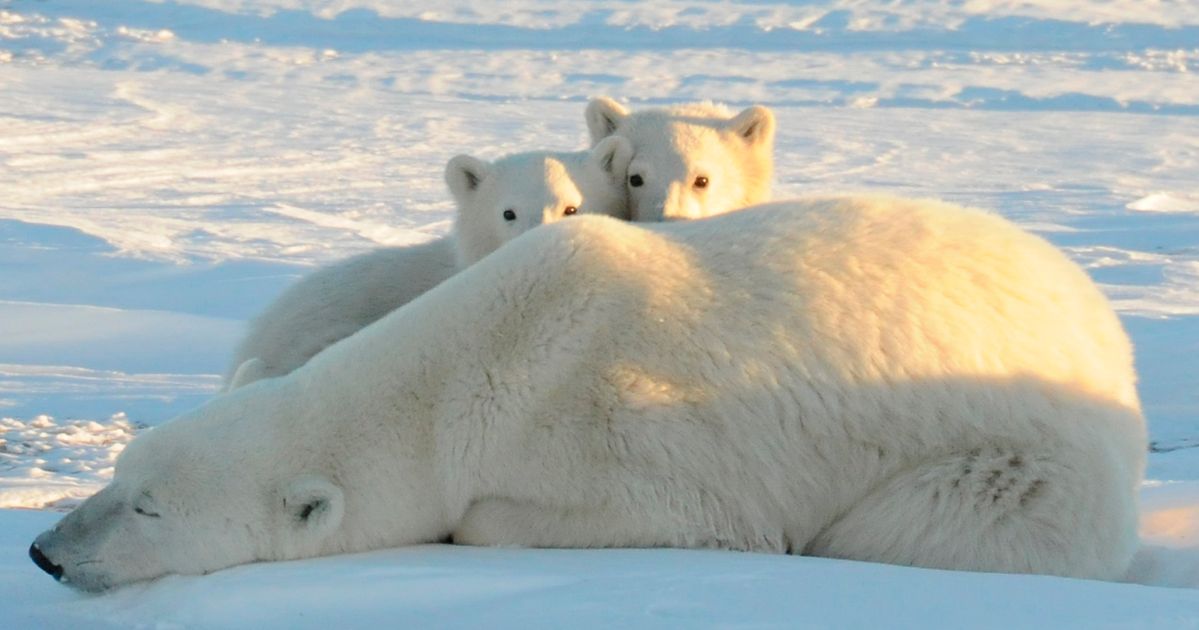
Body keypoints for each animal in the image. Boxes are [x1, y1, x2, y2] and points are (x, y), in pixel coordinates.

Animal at [32, 196, 1146, 590]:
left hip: (1021, 460)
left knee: (942, 518)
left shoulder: (627, 432)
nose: (45, 552)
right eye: (121, 473)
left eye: (148, 508)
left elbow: (678, 517)